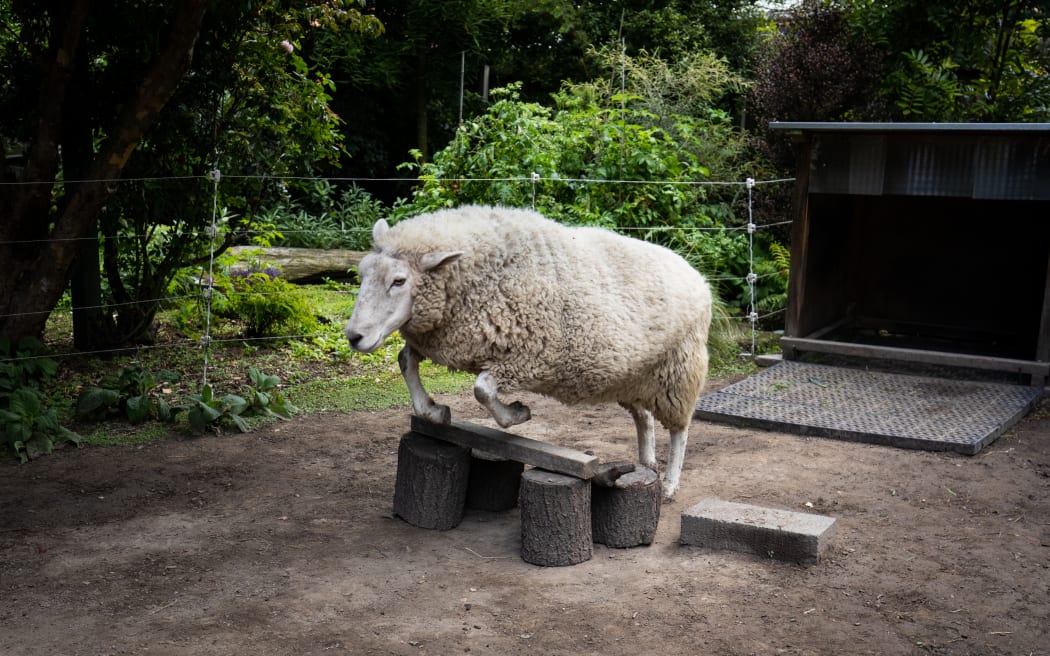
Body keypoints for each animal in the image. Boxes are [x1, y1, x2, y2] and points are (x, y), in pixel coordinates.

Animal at [344, 204, 713, 495]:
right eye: (362, 274)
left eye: (399, 281)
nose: (353, 336)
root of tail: (696, 274)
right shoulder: (446, 341)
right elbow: (405, 359)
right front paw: (431, 410)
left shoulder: (526, 358)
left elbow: (481, 389)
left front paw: (518, 414)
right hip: (631, 377)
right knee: (644, 417)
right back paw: (647, 461)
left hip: (679, 371)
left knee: (680, 430)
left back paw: (669, 483)